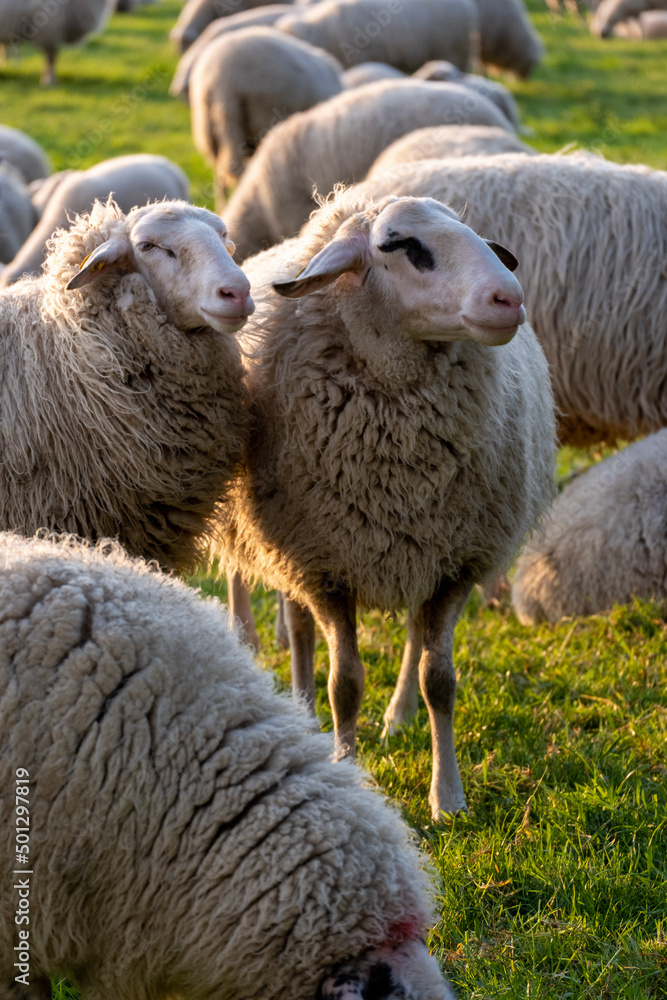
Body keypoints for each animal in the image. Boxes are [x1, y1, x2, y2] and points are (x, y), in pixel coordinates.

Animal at [215, 192, 556, 817]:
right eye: (399, 245)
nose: (509, 299)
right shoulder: (323, 566)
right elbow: (344, 685)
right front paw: (347, 765)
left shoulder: (454, 562)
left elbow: (439, 680)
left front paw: (448, 798)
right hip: (286, 545)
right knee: (298, 630)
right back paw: (305, 710)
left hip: (417, 550)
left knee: (414, 638)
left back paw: (399, 717)